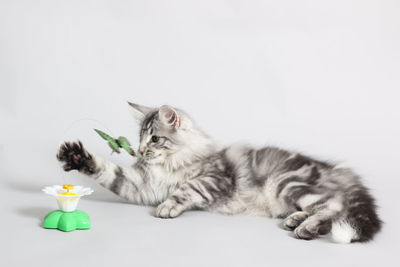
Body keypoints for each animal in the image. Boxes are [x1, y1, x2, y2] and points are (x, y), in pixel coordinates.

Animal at [57, 103, 382, 245]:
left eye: (154, 139)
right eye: (139, 139)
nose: (139, 152)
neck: (172, 163)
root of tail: (335, 169)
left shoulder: (215, 178)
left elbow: (186, 189)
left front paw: (170, 206)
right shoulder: (142, 187)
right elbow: (108, 172)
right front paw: (75, 156)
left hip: (286, 182)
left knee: (334, 206)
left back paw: (307, 227)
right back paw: (296, 220)